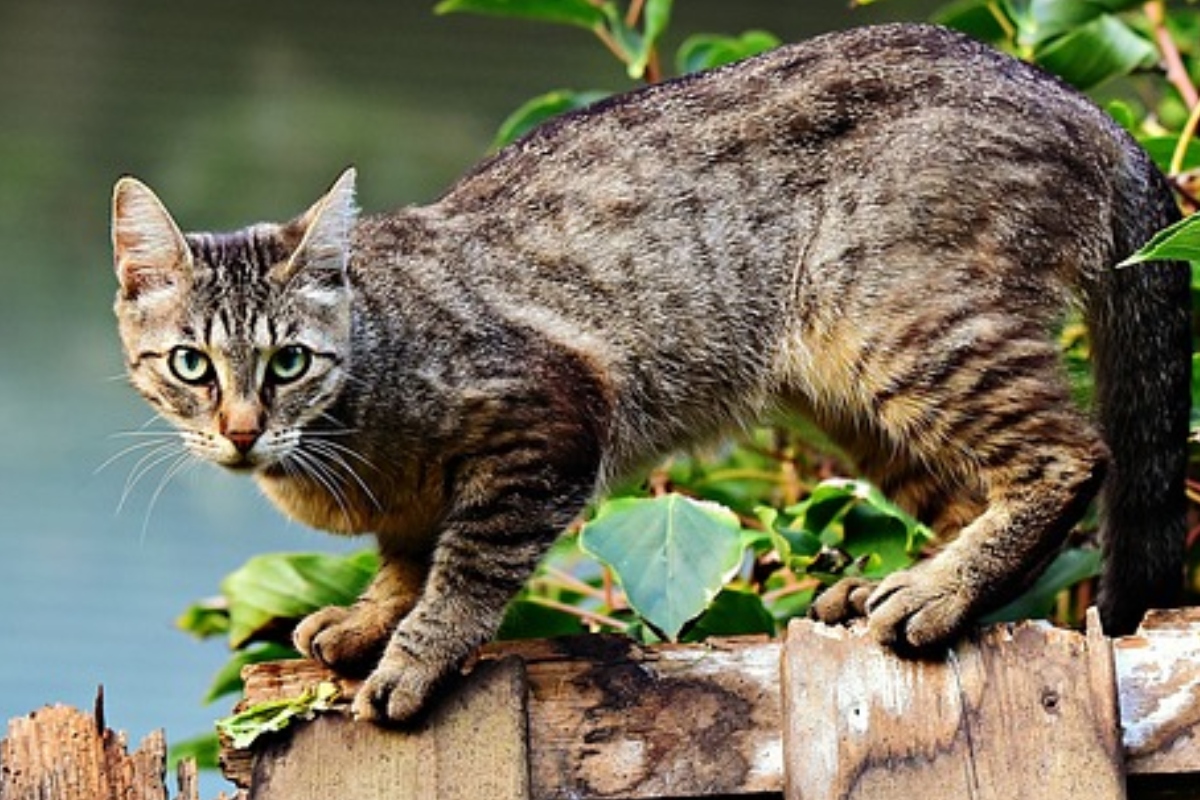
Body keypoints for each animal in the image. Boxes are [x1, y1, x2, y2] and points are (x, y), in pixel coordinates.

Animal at [110, 25, 1190, 724]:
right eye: (191, 365)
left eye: (289, 361)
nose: (242, 430)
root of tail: (1080, 102)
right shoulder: (416, 504)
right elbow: (407, 557)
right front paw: (374, 617)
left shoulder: (550, 418)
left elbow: (465, 567)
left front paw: (415, 652)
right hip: (850, 392)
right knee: (975, 492)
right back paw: (904, 582)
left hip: (902, 324)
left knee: (1071, 457)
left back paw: (937, 591)